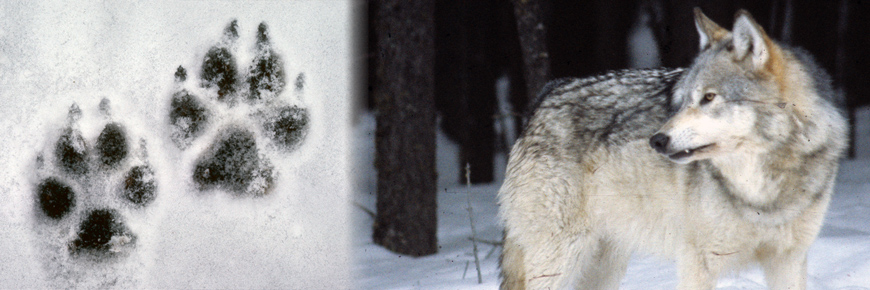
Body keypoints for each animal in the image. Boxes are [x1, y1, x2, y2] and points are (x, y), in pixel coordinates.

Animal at [500, 7, 848, 288]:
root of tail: (544, 97)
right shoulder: (699, 262)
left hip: (605, 262)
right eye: (682, 100)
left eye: (709, 97)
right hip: (558, 259)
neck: (763, 192)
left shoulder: (789, 260)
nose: (656, 140)